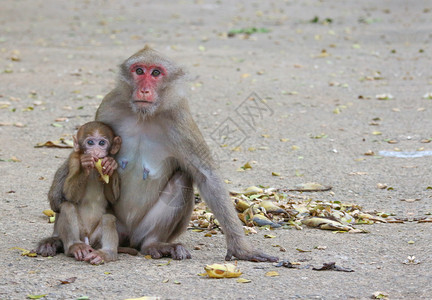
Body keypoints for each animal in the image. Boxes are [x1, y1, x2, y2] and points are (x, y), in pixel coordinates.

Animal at [54, 120, 121, 264]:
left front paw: (109, 165)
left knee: (108, 218)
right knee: (67, 206)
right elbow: (69, 194)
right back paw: (75, 246)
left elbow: (113, 199)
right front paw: (85, 164)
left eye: (101, 143)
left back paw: (106, 253)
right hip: (81, 234)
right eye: (90, 142)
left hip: (95, 240)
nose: (95, 151)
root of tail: (87, 239)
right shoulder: (74, 159)